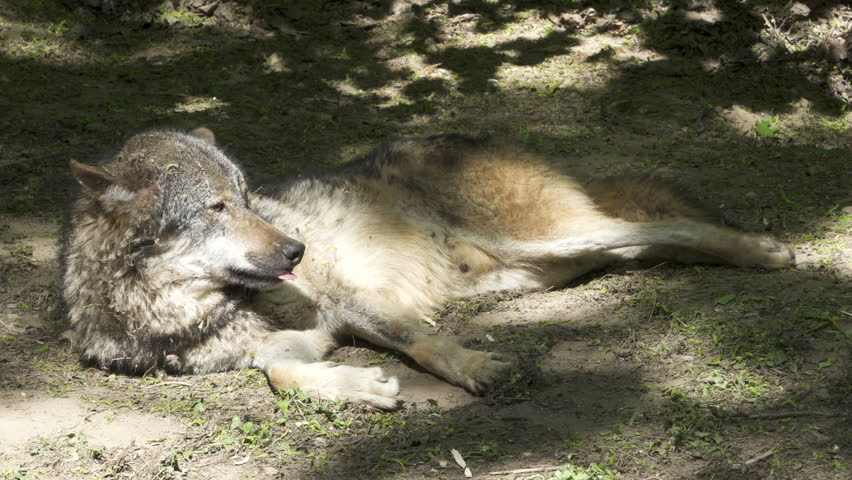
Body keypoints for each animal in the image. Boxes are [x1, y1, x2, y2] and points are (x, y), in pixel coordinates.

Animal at [63, 128, 795, 409]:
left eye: (247, 198)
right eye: (217, 207)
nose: (298, 250)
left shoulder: (353, 302)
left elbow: (423, 342)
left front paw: (478, 368)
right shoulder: (274, 350)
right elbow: (285, 374)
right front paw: (359, 387)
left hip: (549, 240)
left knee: (666, 224)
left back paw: (762, 251)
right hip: (544, 264)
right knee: (643, 244)